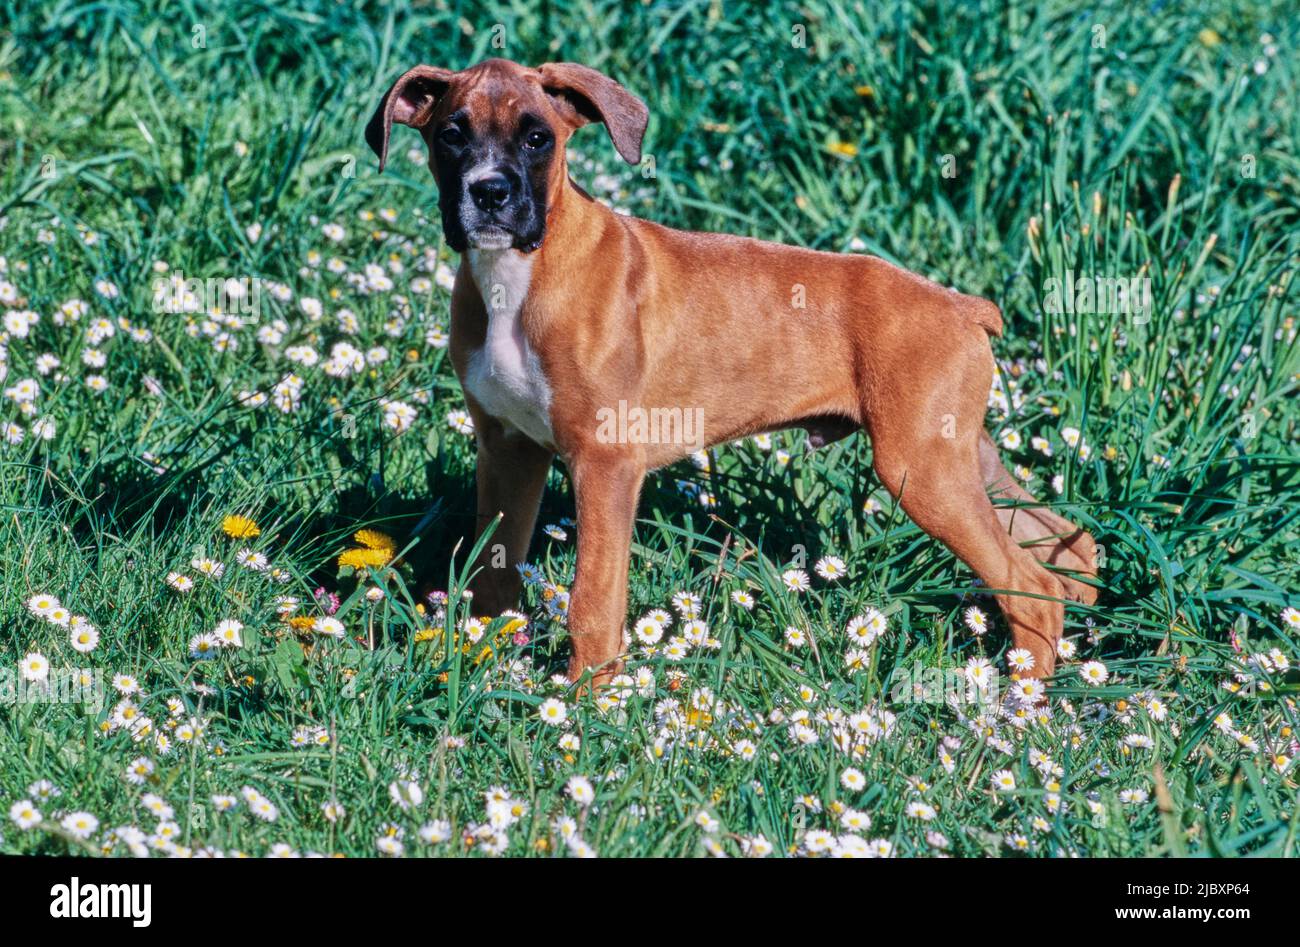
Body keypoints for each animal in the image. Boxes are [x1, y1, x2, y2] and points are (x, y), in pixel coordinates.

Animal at [366, 57, 1097, 681]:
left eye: (537, 138)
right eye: (451, 135)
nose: (488, 193)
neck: (521, 275)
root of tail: (960, 305)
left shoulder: (605, 464)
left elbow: (593, 600)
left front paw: (585, 702)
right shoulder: (508, 451)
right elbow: (493, 575)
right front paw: (481, 667)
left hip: (921, 468)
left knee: (1029, 583)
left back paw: (1018, 702)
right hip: (961, 455)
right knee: (1064, 544)